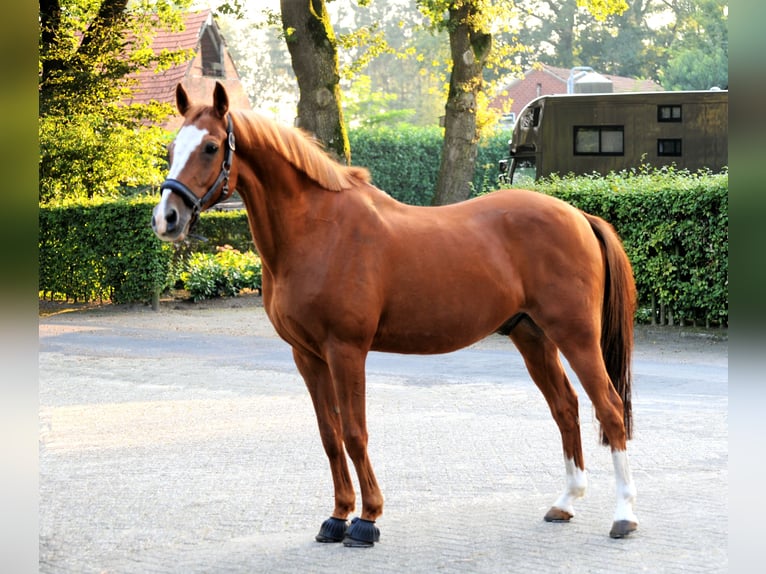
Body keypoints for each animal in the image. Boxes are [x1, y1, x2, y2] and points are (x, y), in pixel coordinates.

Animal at [152, 84, 640, 548]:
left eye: (211, 146)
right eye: (172, 148)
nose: (167, 218)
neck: (318, 229)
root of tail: (578, 214)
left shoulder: (346, 350)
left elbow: (354, 433)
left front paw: (366, 521)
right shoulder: (306, 355)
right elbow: (329, 436)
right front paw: (337, 517)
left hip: (576, 335)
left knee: (609, 408)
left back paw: (624, 516)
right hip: (532, 336)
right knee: (566, 407)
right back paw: (566, 502)